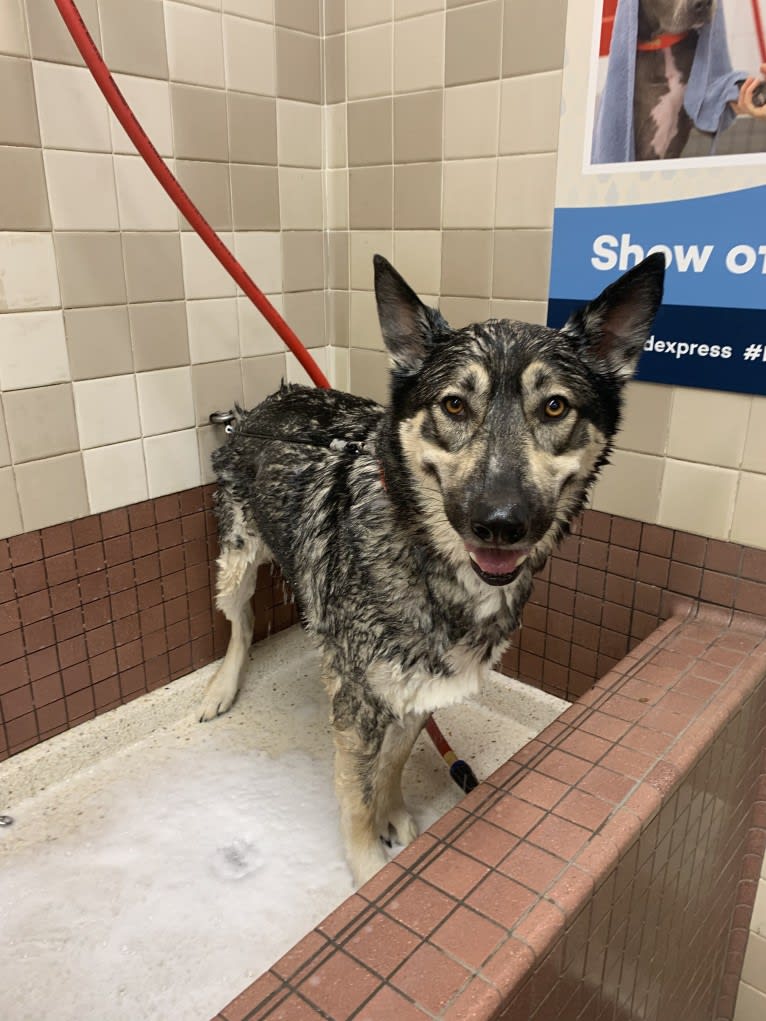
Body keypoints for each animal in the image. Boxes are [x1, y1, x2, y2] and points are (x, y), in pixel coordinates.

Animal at [199, 251, 665, 882]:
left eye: (555, 406)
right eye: (453, 405)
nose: (500, 523)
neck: (423, 556)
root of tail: (261, 407)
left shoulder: (421, 688)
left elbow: (393, 762)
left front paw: (395, 816)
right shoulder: (356, 700)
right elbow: (356, 796)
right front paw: (369, 872)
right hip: (237, 560)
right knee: (242, 623)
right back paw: (222, 687)